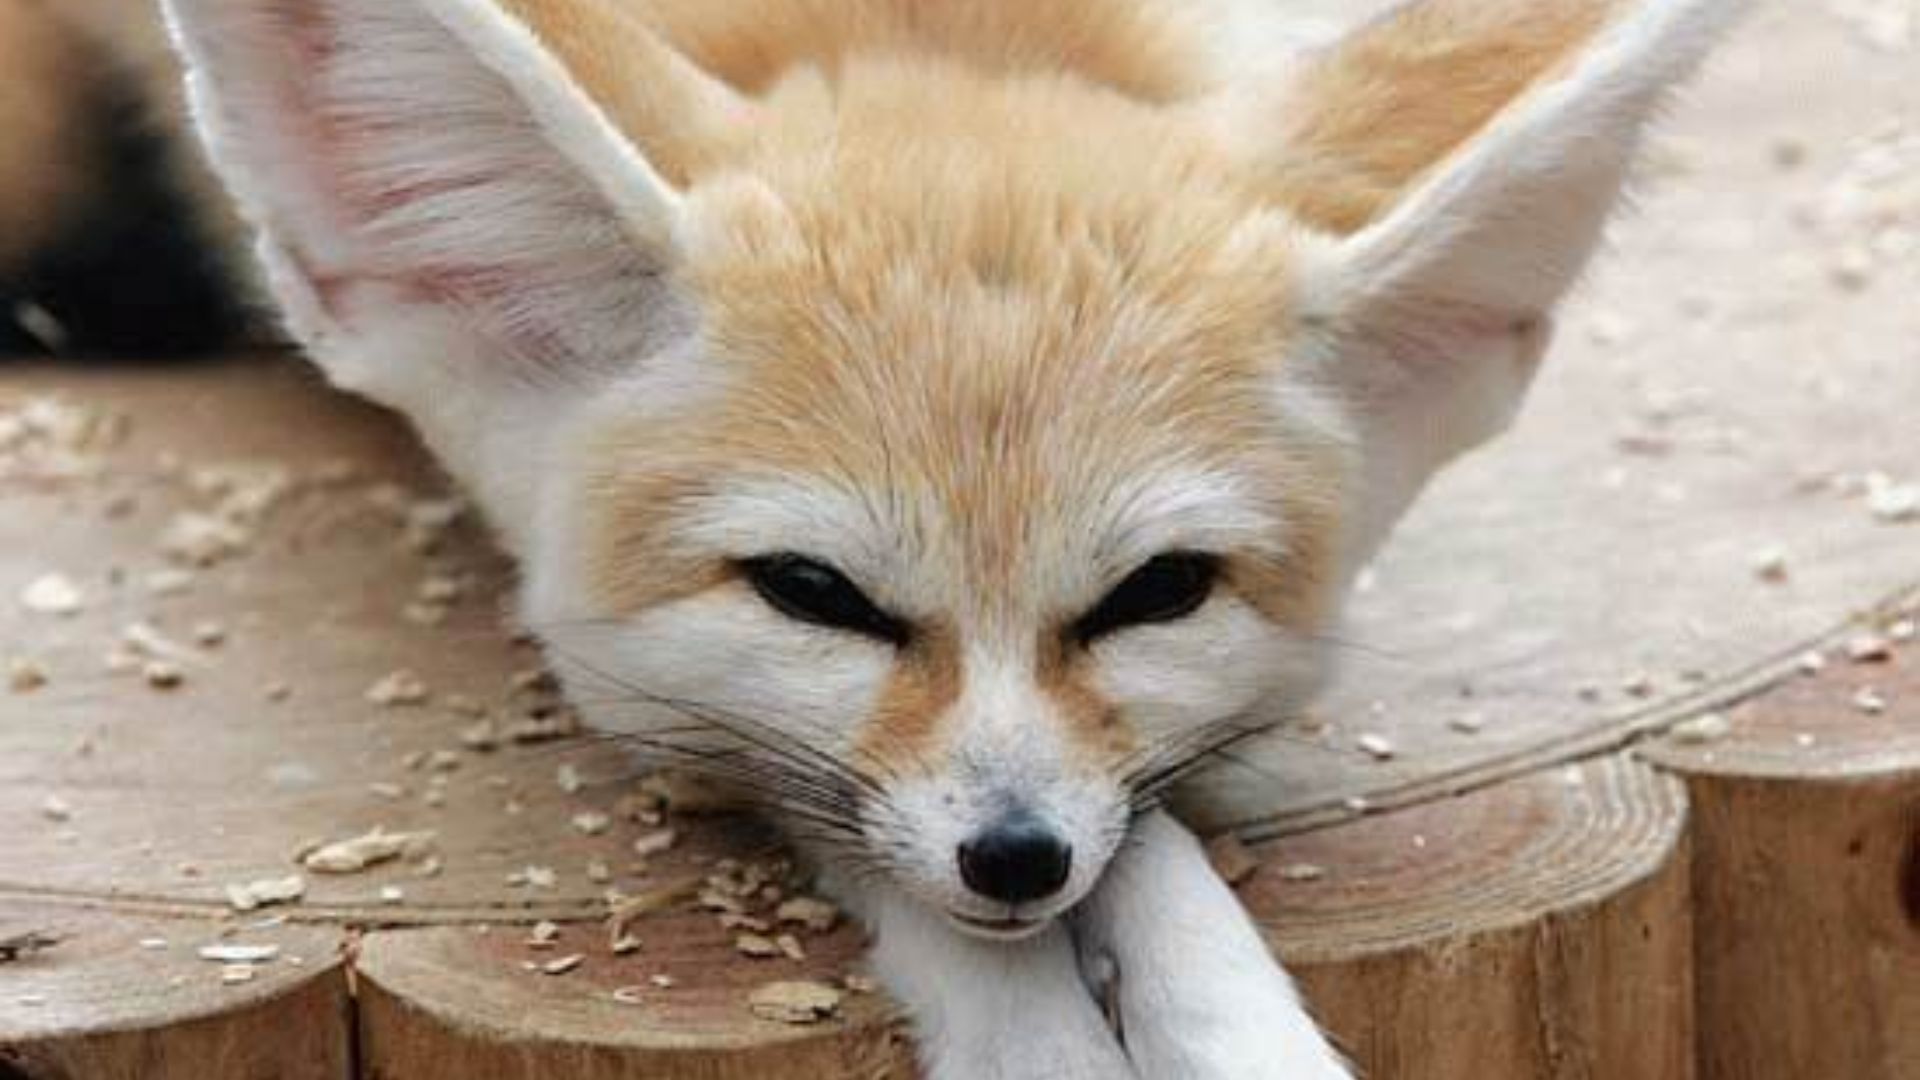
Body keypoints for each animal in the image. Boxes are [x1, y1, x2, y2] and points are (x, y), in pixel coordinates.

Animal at [27, 0, 1745, 1075]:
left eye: (1157, 595)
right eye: (814, 595)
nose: (1015, 855)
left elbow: (1150, 838)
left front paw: (1229, 1028)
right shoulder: (687, 722)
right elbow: (865, 836)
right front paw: (1039, 1040)